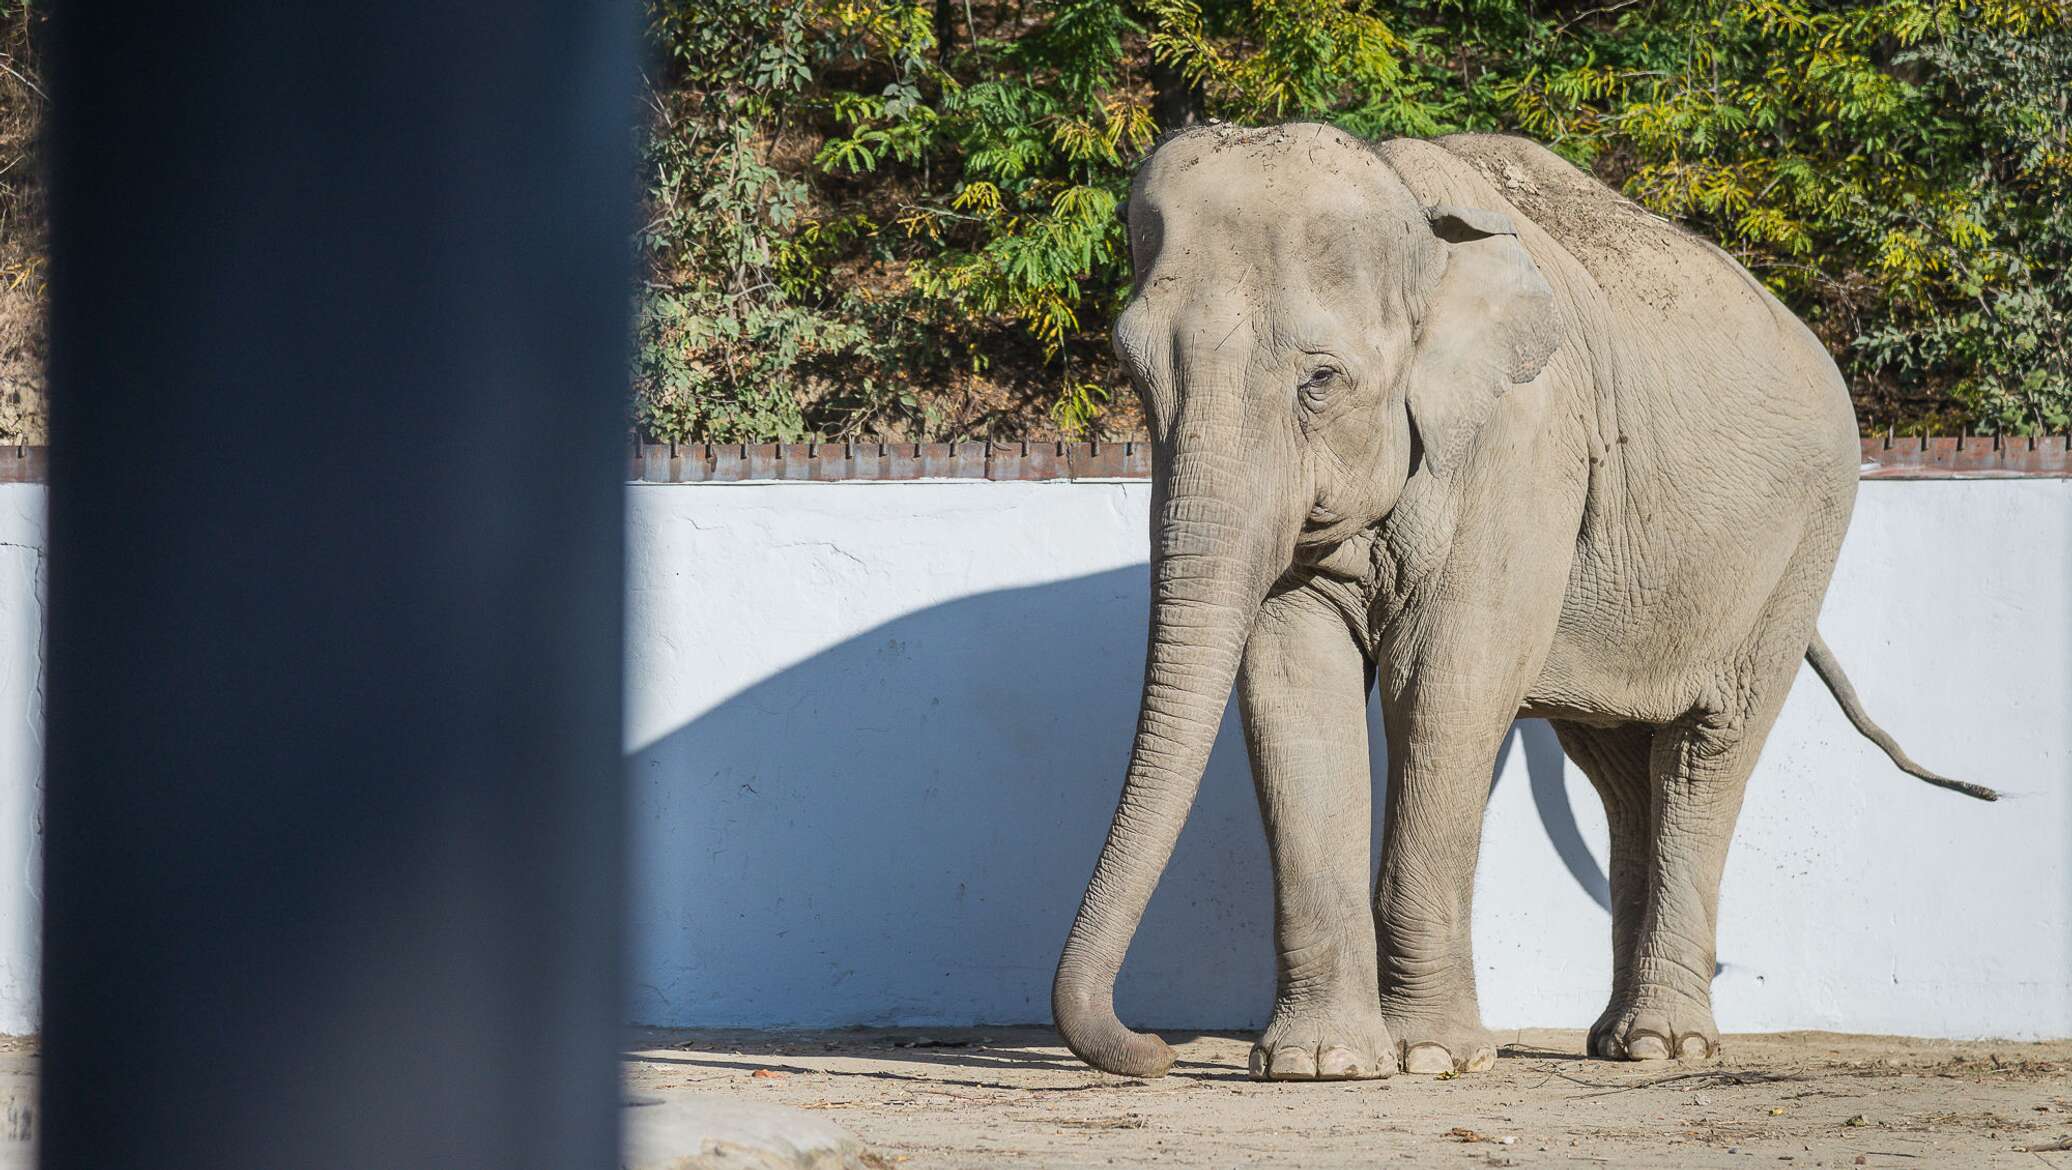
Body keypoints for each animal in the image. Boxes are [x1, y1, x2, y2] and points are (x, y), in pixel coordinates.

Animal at [1052, 123, 1989, 1085]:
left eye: (1320, 381)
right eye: (1133, 374)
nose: (1153, 1051)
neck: (1423, 230)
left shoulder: (1524, 441)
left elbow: (1445, 685)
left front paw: (1434, 1058)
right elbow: (1291, 681)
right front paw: (1323, 1064)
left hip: (1801, 548)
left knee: (1707, 751)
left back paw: (1665, 1046)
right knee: (1619, 768)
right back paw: (1615, 1041)